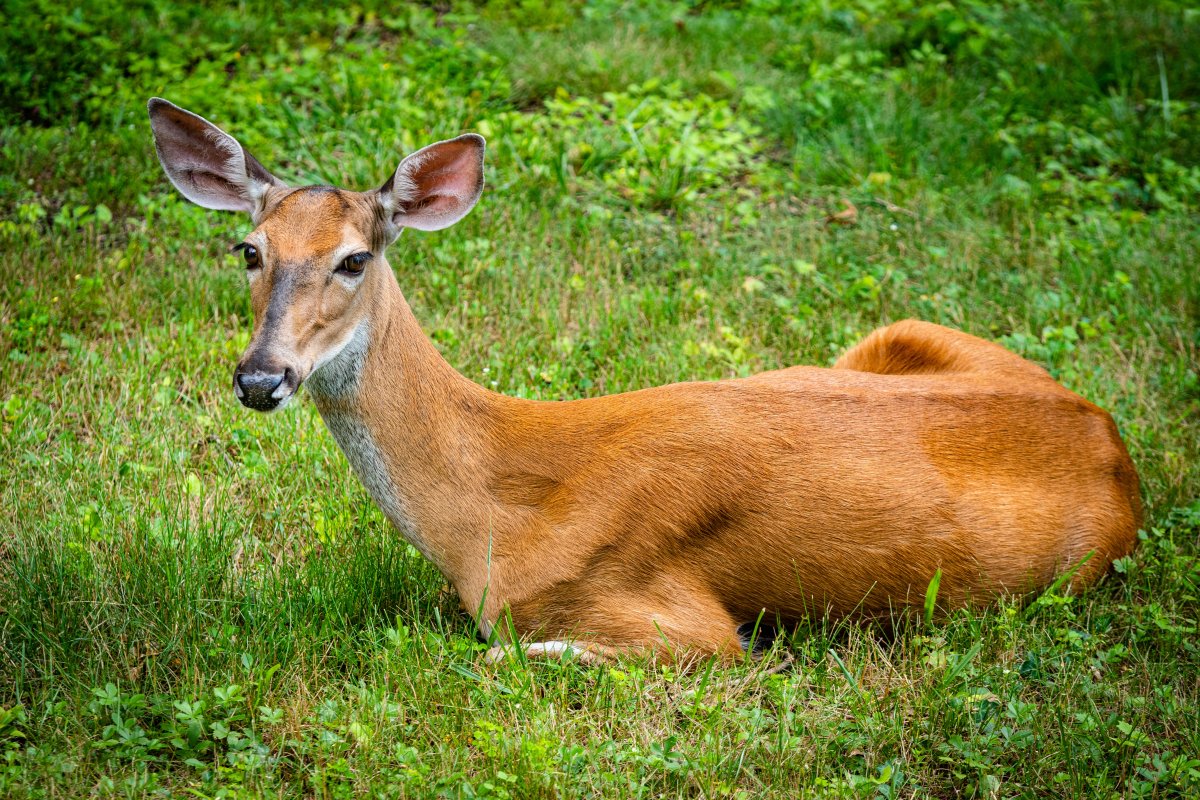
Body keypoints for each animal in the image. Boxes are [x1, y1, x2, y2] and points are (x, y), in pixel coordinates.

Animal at [145, 98, 1137, 662]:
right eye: (248, 250)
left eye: (353, 259)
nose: (261, 377)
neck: (485, 516)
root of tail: (1114, 442)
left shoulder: (682, 626)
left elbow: (505, 653)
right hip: (900, 329)